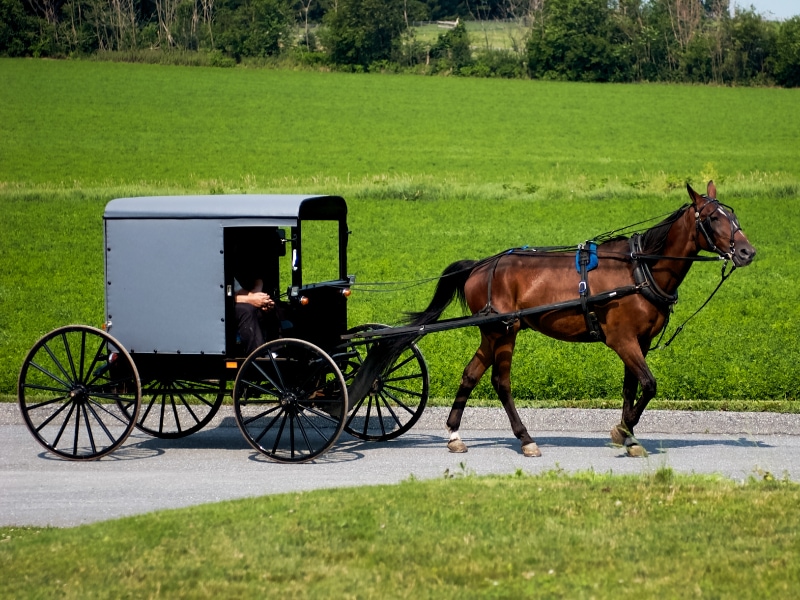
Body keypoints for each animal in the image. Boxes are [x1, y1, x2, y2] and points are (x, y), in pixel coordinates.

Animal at [406, 180, 756, 458]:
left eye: (734, 215)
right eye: (713, 218)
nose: (747, 252)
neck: (639, 268)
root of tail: (480, 265)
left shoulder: (639, 341)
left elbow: (631, 388)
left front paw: (629, 438)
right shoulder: (621, 340)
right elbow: (649, 384)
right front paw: (621, 431)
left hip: (493, 332)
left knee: (471, 374)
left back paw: (454, 435)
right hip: (505, 331)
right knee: (500, 382)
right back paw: (526, 438)